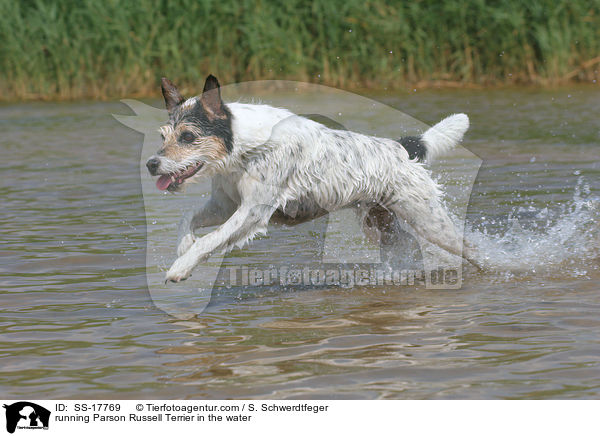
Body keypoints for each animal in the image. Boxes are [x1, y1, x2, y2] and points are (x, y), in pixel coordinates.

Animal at [146, 74, 482, 282]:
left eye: (188, 136)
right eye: (162, 136)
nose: (151, 164)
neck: (242, 148)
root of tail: (402, 149)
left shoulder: (252, 212)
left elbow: (212, 239)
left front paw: (181, 267)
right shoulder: (225, 204)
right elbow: (188, 219)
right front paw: (184, 245)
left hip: (428, 220)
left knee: (468, 247)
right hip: (378, 222)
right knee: (407, 245)